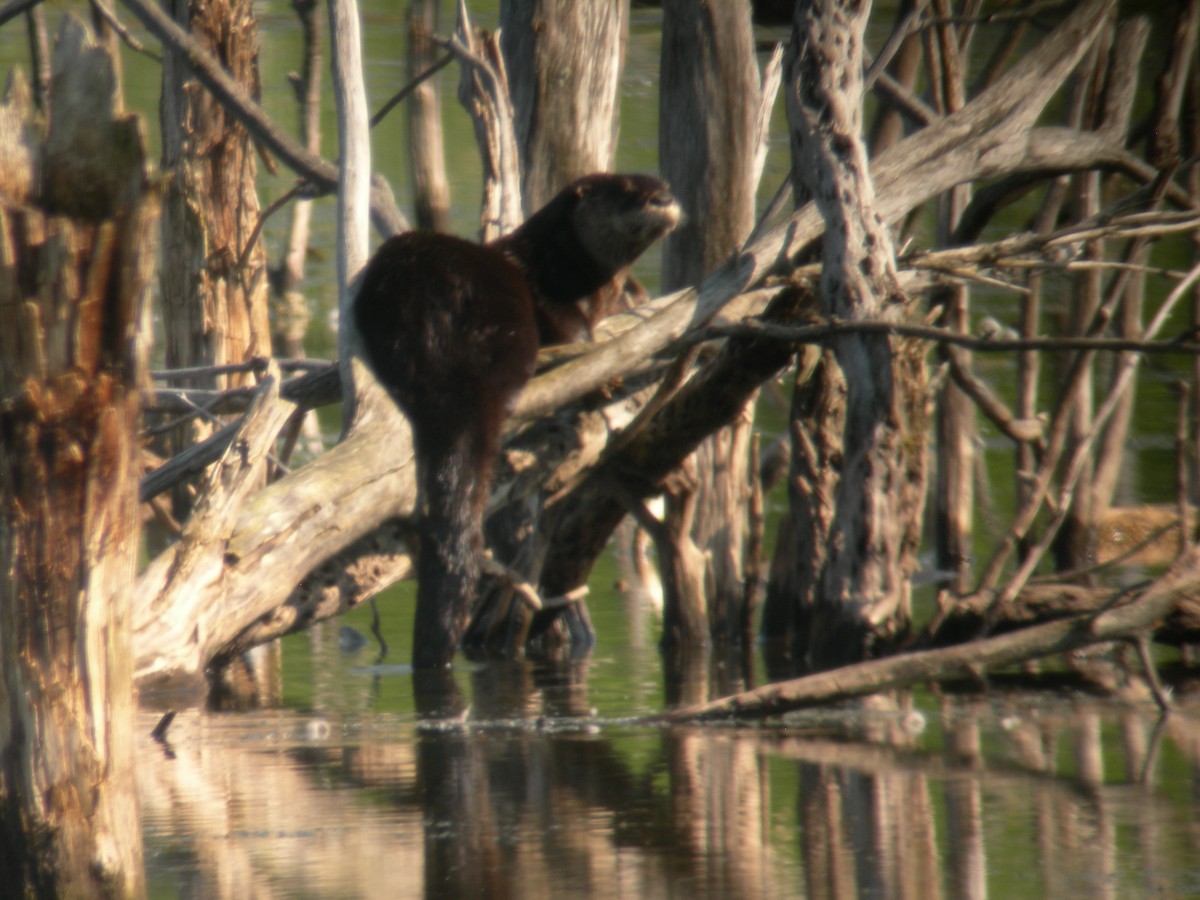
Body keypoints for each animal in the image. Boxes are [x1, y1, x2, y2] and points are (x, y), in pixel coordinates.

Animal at [353, 173, 680, 669]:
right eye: (626, 189)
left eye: (661, 185)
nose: (663, 198)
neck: (563, 267)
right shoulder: (548, 292)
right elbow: (571, 325)